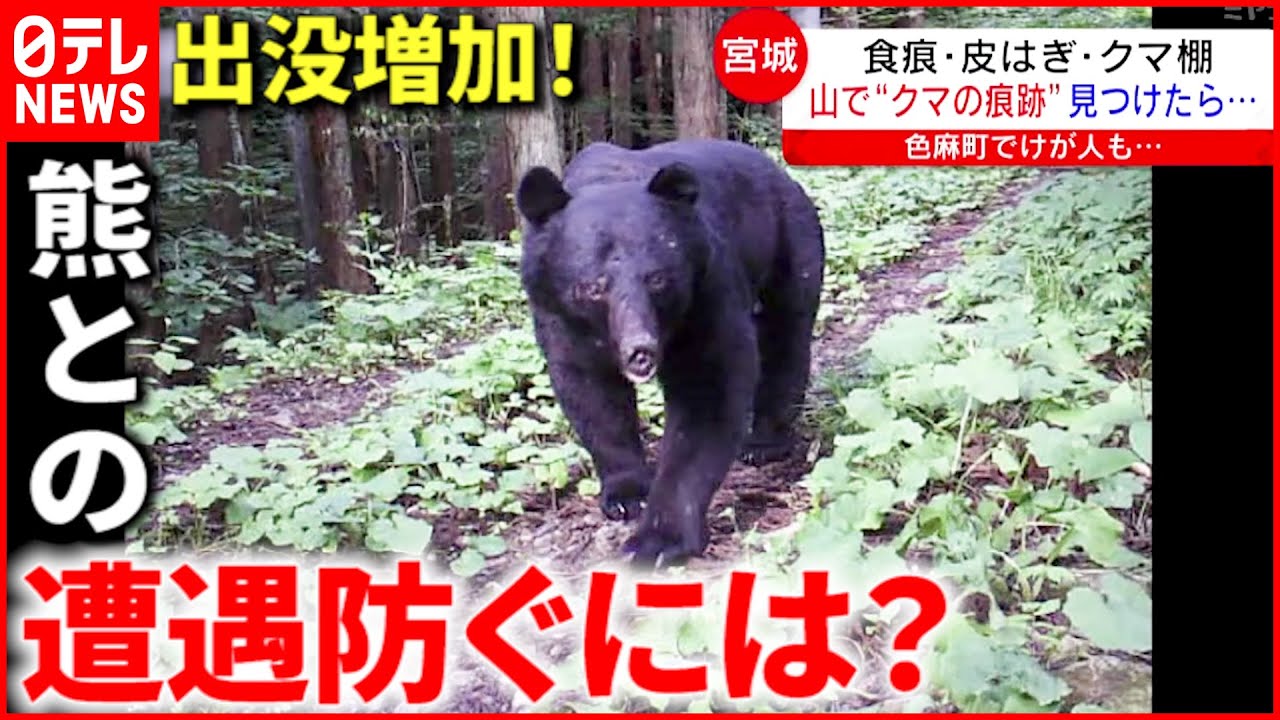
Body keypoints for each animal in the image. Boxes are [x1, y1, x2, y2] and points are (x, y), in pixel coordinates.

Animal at [515, 138, 826, 567]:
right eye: (593, 287)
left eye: (657, 279)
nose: (640, 350)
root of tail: (784, 176)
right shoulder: (559, 317)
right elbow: (592, 396)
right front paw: (626, 495)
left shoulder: (706, 289)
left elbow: (708, 393)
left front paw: (657, 540)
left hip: (789, 241)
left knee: (786, 335)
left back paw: (764, 443)